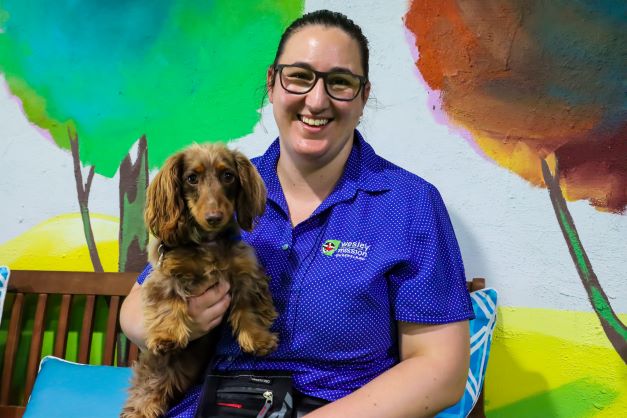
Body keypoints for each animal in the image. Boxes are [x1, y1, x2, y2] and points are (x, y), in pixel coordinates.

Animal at [121, 143, 278, 418]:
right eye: (192, 178)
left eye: (228, 175)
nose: (214, 217)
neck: (208, 243)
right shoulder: (167, 273)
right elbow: (168, 303)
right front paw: (167, 336)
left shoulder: (245, 273)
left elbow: (248, 309)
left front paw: (258, 338)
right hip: (154, 377)